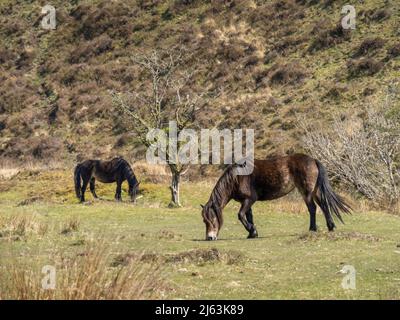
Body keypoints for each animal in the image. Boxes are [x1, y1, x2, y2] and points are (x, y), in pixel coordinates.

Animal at [202, 154, 352, 240]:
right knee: (324, 206)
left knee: (313, 208)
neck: (237, 177)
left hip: (306, 191)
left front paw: (252, 231)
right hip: (314, 191)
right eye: (204, 221)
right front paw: (252, 233)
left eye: (212, 219)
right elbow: (249, 216)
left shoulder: (249, 200)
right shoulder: (246, 202)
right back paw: (331, 226)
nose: (210, 237)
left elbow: (241, 215)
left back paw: (312, 229)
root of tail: (313, 160)